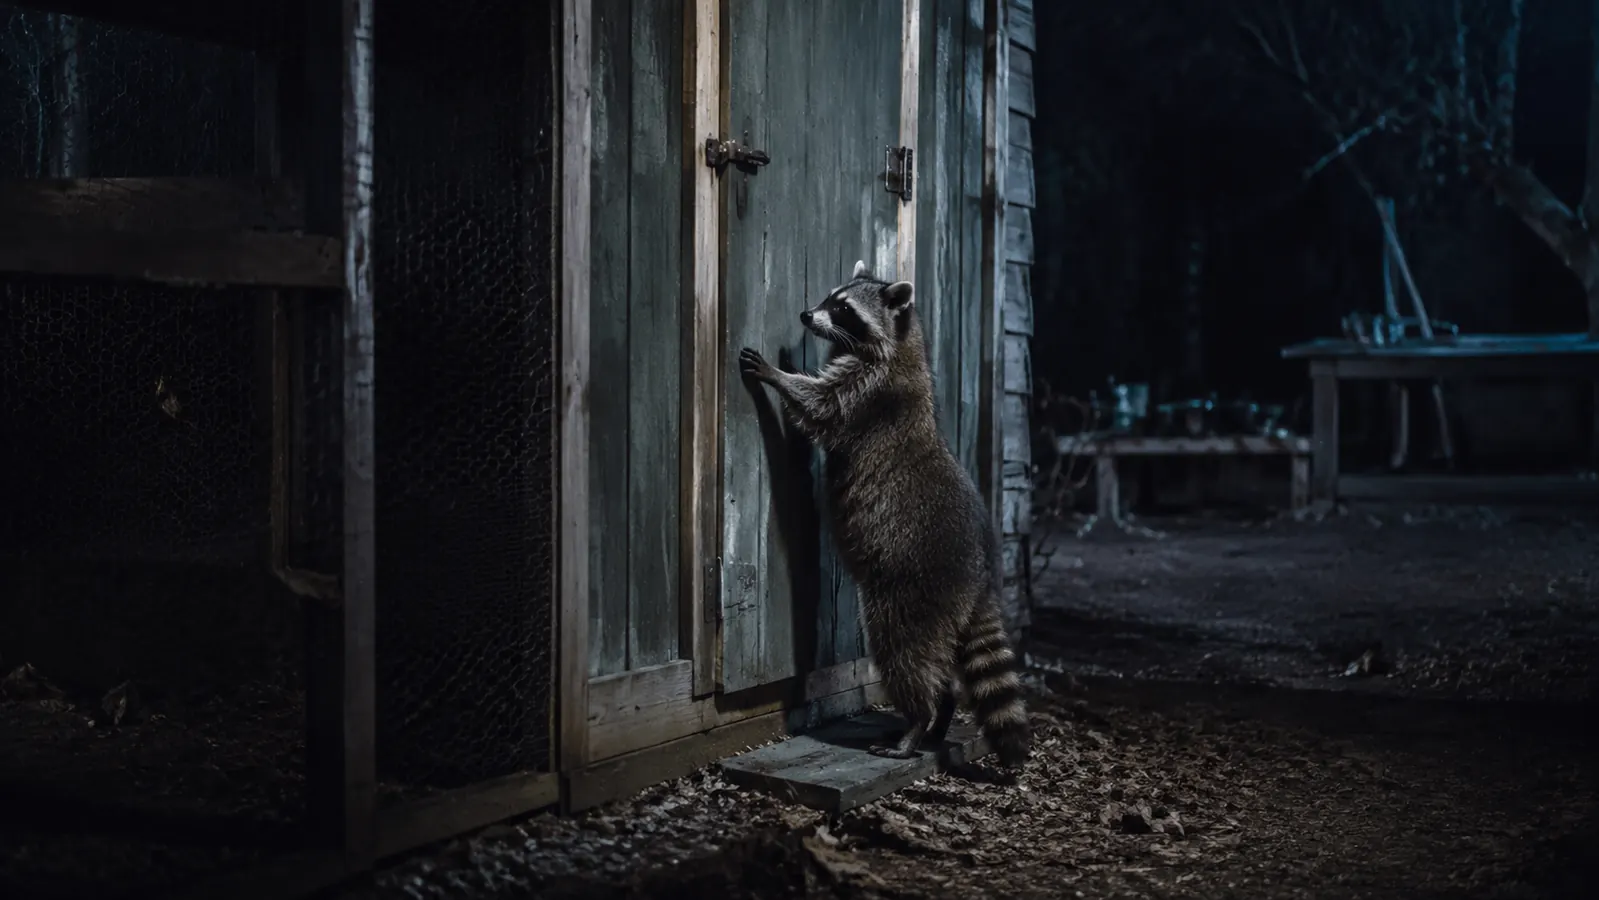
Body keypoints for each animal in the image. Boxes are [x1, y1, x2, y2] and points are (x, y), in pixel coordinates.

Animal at [739, 259, 1031, 766]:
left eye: (843, 309)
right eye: (829, 297)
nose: (805, 315)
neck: (902, 340)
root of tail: (980, 576)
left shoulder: (868, 391)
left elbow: (820, 407)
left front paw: (779, 375)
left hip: (912, 592)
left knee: (904, 653)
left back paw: (918, 720)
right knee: (938, 665)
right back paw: (941, 715)